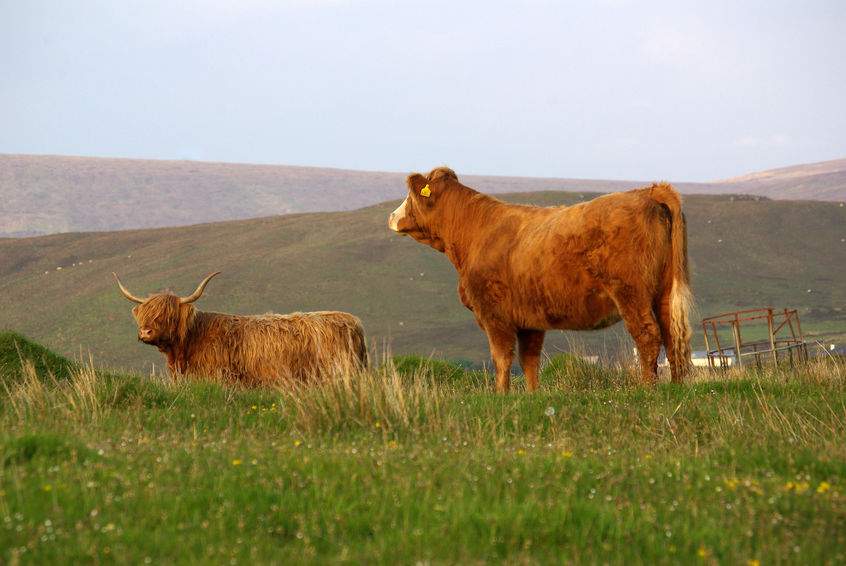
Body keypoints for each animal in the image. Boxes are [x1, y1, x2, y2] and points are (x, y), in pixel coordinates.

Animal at [390, 166, 696, 392]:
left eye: (409, 196)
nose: (392, 216)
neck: (474, 232)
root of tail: (648, 191)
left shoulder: (493, 315)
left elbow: (502, 358)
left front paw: (500, 395)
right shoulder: (529, 319)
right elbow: (529, 360)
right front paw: (532, 395)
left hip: (632, 293)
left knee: (648, 335)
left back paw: (648, 388)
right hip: (664, 293)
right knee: (672, 335)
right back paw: (676, 387)